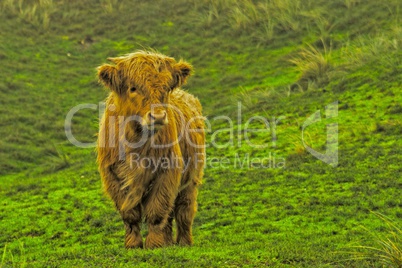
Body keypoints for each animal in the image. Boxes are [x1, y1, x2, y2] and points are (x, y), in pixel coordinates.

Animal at [96, 49, 204, 249]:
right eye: (133, 88)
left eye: (167, 88)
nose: (158, 116)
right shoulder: (113, 176)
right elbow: (130, 215)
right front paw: (133, 244)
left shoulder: (167, 172)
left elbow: (157, 211)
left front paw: (154, 244)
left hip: (191, 179)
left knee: (184, 211)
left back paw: (184, 242)